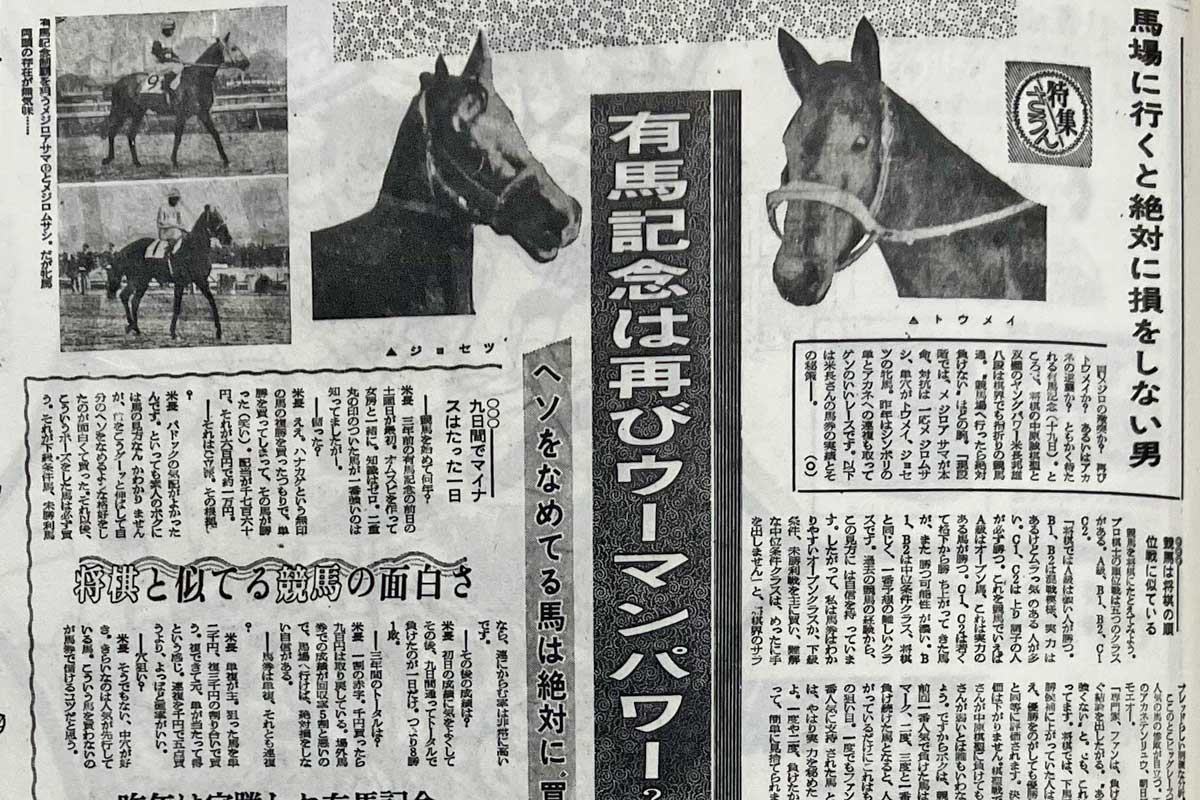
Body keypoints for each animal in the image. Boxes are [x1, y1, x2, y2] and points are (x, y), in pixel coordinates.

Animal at [102, 34, 250, 169]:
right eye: (234, 48)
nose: (247, 63)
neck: (196, 79)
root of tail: (119, 82)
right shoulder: (182, 114)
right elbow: (178, 137)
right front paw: (174, 161)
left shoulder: (203, 113)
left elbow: (215, 134)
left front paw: (226, 160)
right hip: (122, 111)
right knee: (112, 131)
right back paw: (108, 159)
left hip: (138, 112)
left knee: (130, 135)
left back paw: (137, 162)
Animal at [105, 205, 233, 340]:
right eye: (216, 219)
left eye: (224, 217)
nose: (229, 239)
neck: (193, 249)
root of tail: (125, 249)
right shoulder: (180, 283)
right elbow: (177, 306)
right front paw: (173, 332)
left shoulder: (201, 281)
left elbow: (212, 302)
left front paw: (219, 332)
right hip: (137, 279)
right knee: (125, 296)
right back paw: (131, 326)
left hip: (142, 281)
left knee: (134, 300)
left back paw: (136, 328)